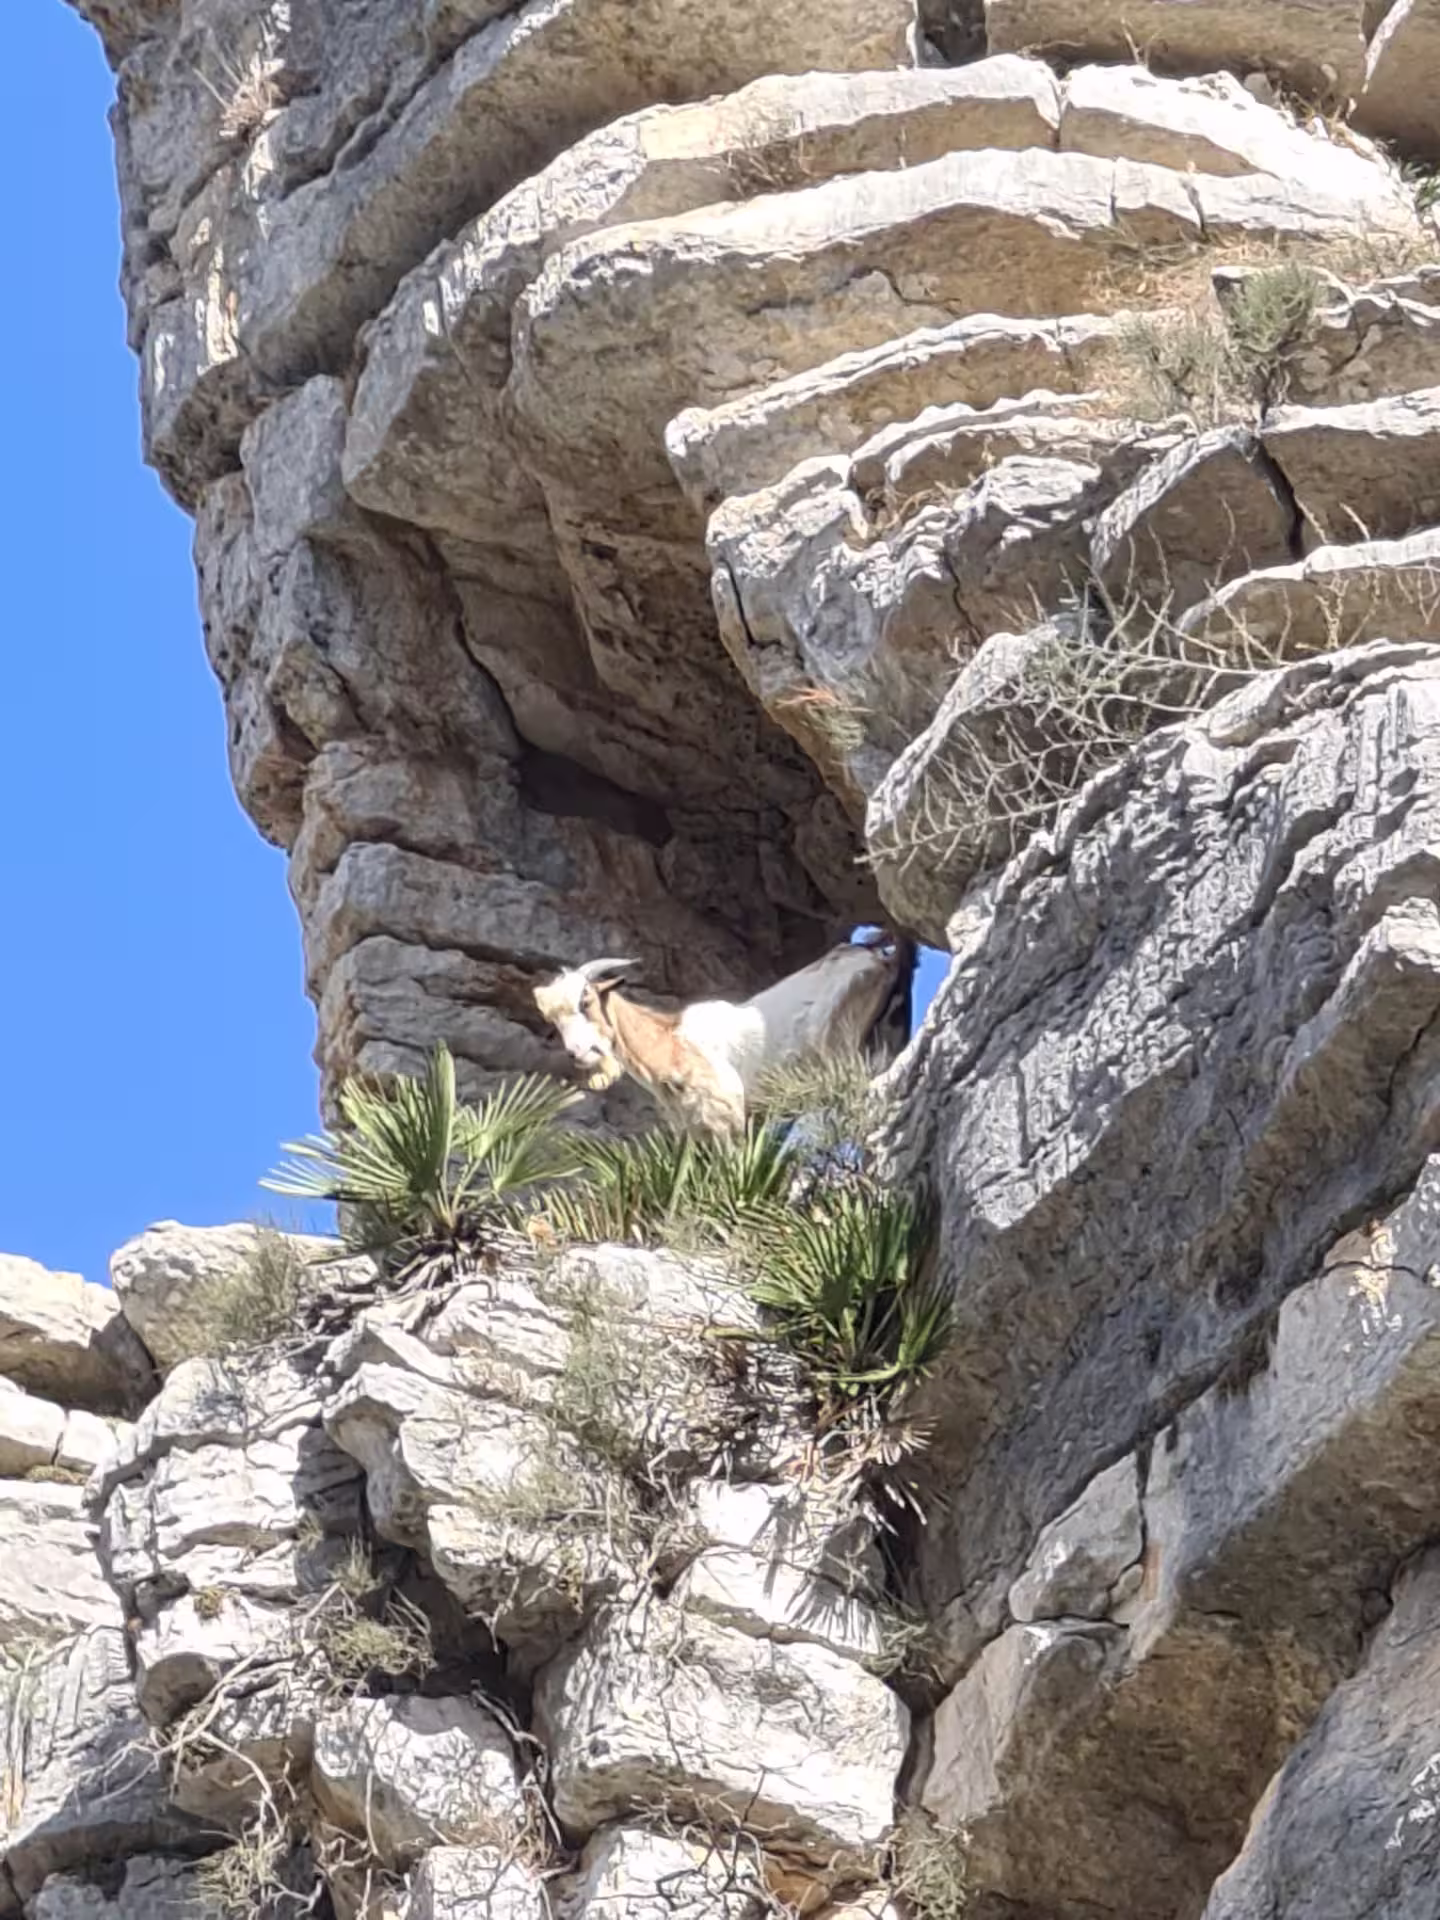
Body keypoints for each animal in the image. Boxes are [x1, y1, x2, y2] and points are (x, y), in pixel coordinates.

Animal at [533, 932, 916, 1136]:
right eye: (552, 1020)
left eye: (585, 1000)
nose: (577, 1052)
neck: (669, 1039)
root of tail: (884, 962)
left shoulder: (726, 1109)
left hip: (840, 1049)